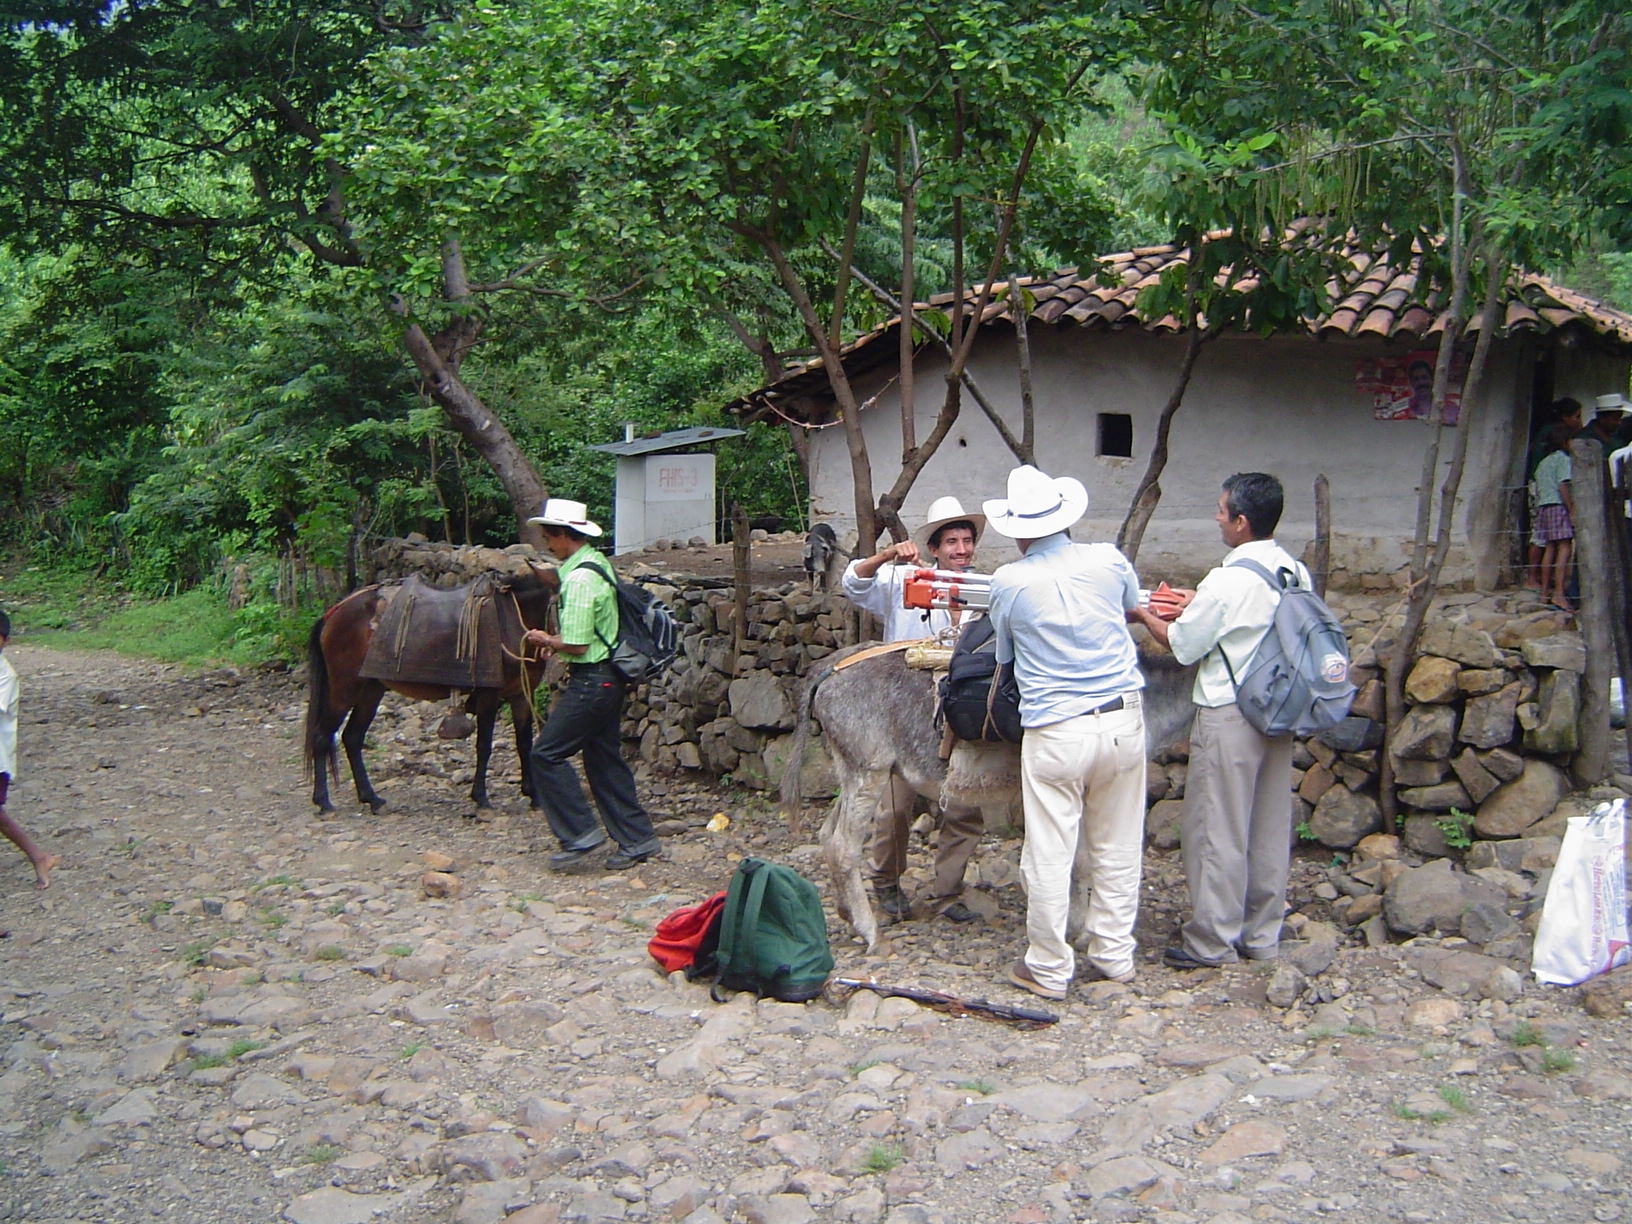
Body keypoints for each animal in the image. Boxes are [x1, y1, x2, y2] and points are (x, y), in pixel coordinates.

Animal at [306, 564, 561, 816]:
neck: (512, 620)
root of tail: (335, 612)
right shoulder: (490, 695)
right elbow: (484, 745)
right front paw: (481, 797)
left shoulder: (520, 694)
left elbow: (524, 743)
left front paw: (533, 795)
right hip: (344, 691)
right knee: (322, 737)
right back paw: (324, 801)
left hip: (370, 690)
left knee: (352, 738)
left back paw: (372, 798)